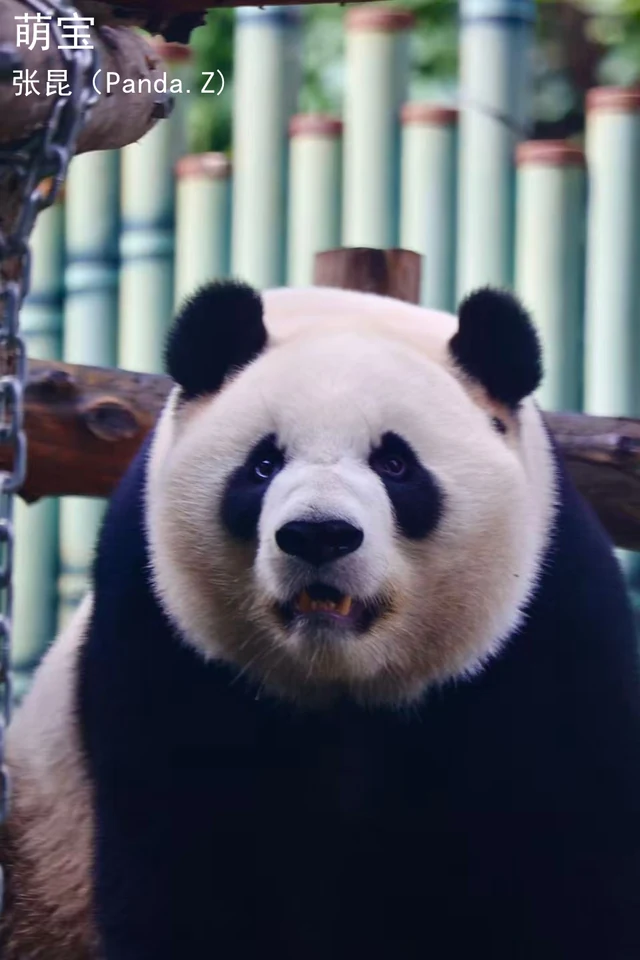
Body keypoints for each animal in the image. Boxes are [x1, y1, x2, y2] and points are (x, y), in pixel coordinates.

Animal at [2, 280, 640, 960]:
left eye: (395, 464)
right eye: (263, 465)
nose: (318, 535)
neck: (342, 681)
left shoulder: (545, 629)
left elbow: (562, 856)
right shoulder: (160, 630)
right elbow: (183, 861)